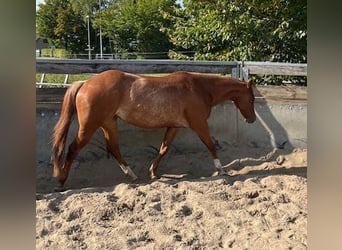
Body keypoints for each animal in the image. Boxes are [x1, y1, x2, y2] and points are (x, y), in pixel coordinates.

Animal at [51, 69, 254, 190]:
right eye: (251, 98)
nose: (251, 119)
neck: (199, 88)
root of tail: (85, 83)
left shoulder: (174, 126)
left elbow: (164, 148)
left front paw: (153, 172)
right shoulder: (199, 124)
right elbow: (211, 145)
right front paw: (222, 170)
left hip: (109, 123)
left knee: (114, 148)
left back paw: (133, 175)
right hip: (89, 126)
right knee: (73, 148)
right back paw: (61, 181)